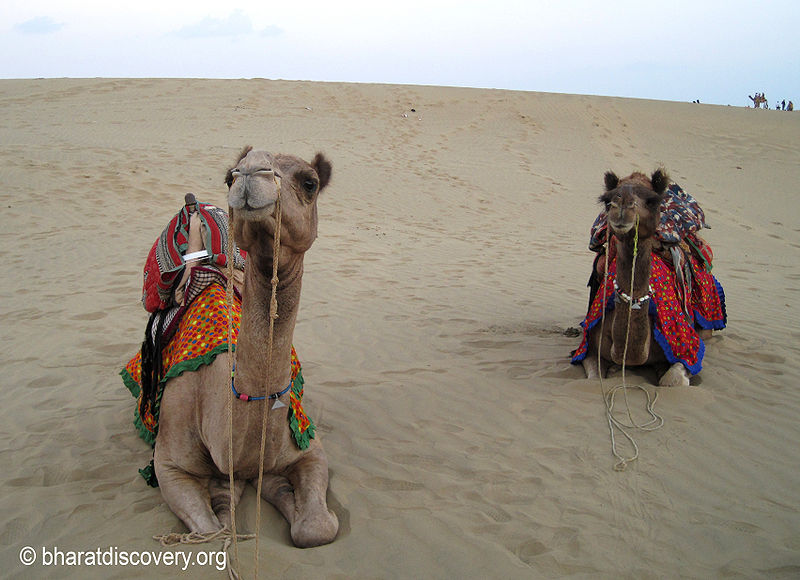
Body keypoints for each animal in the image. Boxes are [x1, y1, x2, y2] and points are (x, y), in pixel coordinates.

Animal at [151, 147, 338, 548]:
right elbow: (210, 531)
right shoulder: (168, 464)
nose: (250, 173)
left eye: (309, 182)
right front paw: (227, 506)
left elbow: (316, 528)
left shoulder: (309, 446)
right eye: (229, 176)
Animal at [580, 169, 693, 387]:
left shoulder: (687, 348)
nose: (622, 204)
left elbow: (672, 380)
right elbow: (594, 378)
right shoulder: (589, 348)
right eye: (607, 200)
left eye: (653, 201)